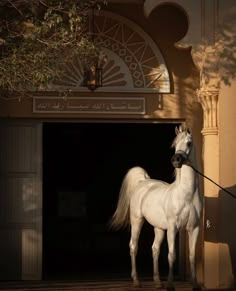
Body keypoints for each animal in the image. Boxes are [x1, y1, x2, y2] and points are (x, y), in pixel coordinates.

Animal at [109, 124, 202, 288]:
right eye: (175, 145)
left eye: (189, 143)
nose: (176, 160)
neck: (187, 195)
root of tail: (142, 182)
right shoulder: (172, 228)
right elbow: (172, 255)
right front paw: (170, 285)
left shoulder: (194, 228)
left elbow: (192, 256)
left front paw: (195, 285)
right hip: (137, 221)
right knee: (133, 246)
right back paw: (136, 281)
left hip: (159, 228)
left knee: (155, 249)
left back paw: (158, 282)